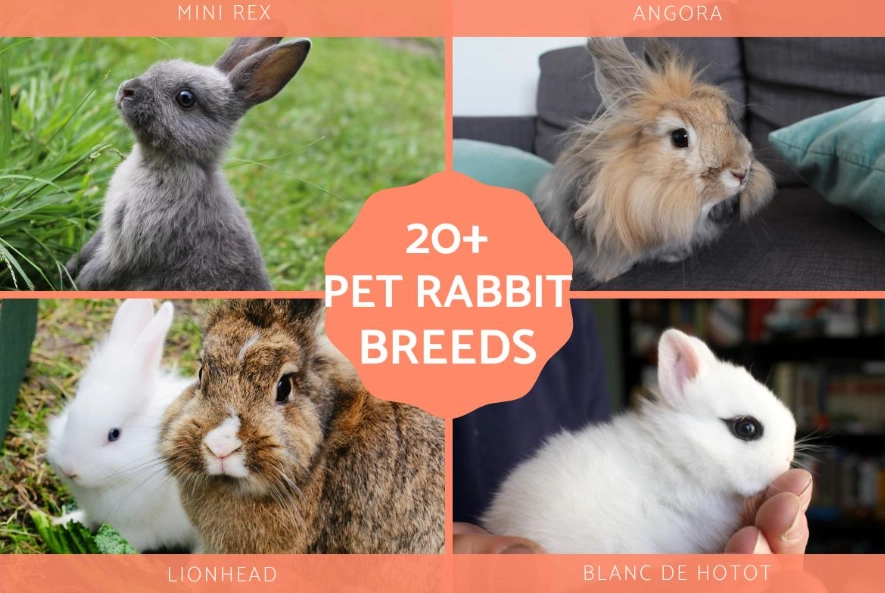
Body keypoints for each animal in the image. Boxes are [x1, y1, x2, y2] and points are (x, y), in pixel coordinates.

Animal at [46, 299, 199, 552]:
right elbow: (87, 519)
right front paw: (62, 522)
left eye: (114, 434)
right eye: (70, 417)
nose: (69, 469)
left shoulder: (137, 529)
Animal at [65, 37, 311, 291]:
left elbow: (103, 270)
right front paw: (68, 269)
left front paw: (77, 284)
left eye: (185, 98)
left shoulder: (130, 248)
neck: (157, 161)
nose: (127, 89)